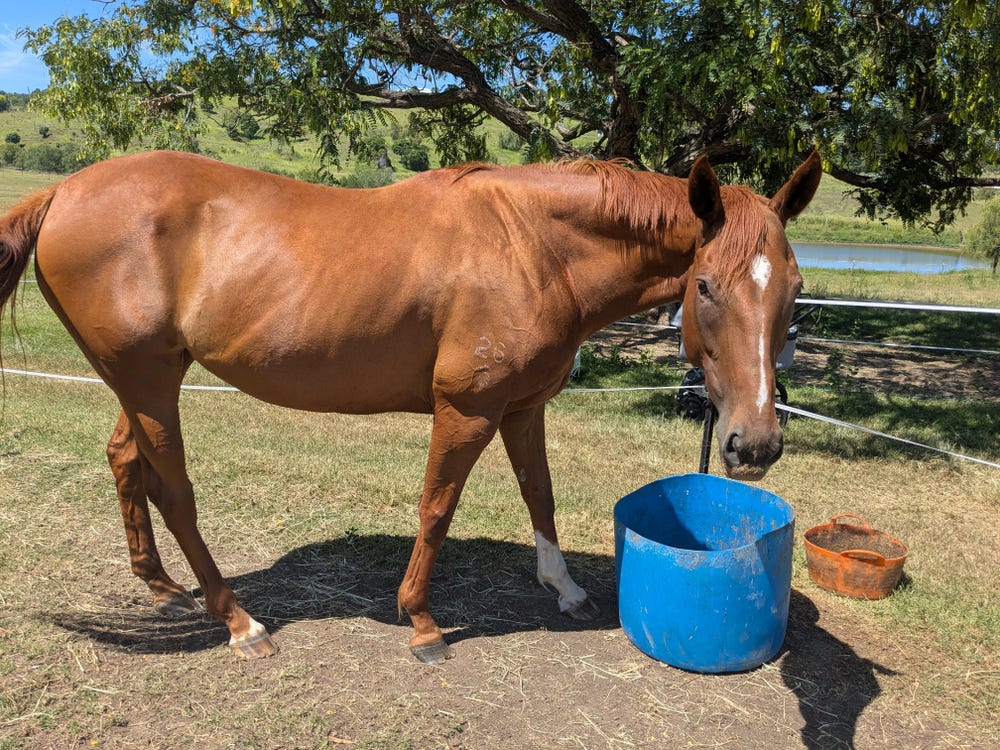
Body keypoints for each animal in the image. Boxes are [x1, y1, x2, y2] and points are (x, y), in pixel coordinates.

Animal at [0, 149, 821, 664]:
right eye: (706, 286)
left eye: (793, 288)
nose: (754, 444)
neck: (532, 246)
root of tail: (63, 192)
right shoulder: (468, 409)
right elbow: (437, 507)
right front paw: (422, 623)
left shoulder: (523, 408)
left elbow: (541, 494)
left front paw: (563, 587)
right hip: (147, 383)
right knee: (173, 490)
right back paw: (237, 619)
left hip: (147, 382)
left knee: (124, 461)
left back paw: (164, 588)